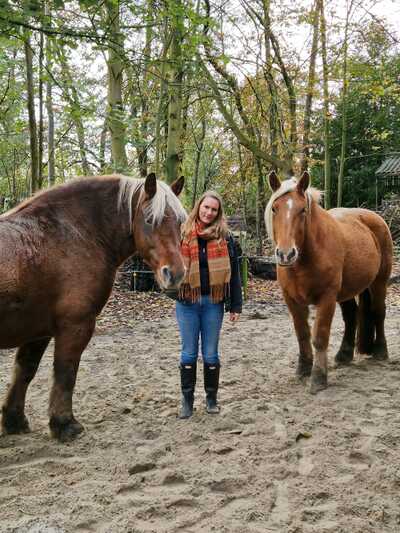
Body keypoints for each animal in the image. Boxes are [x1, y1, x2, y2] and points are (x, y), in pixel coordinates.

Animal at [0, 172, 188, 438]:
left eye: (181, 221)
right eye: (151, 219)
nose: (176, 274)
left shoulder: (37, 330)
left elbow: (25, 370)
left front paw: (14, 421)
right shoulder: (75, 325)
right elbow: (65, 371)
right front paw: (64, 424)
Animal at [264, 172, 392, 392]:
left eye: (302, 210)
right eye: (274, 208)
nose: (286, 254)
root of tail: (374, 217)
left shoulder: (327, 298)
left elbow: (320, 337)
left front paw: (318, 378)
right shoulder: (291, 300)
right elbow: (302, 334)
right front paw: (303, 369)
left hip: (379, 282)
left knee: (378, 312)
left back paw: (380, 352)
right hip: (348, 291)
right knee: (351, 316)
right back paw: (344, 355)